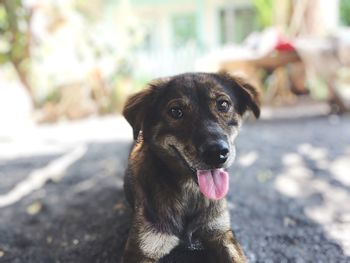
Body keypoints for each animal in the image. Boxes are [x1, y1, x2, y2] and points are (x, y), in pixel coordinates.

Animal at [121, 72, 258, 263]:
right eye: (176, 111)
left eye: (223, 105)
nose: (218, 153)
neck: (190, 193)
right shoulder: (141, 249)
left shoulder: (221, 233)